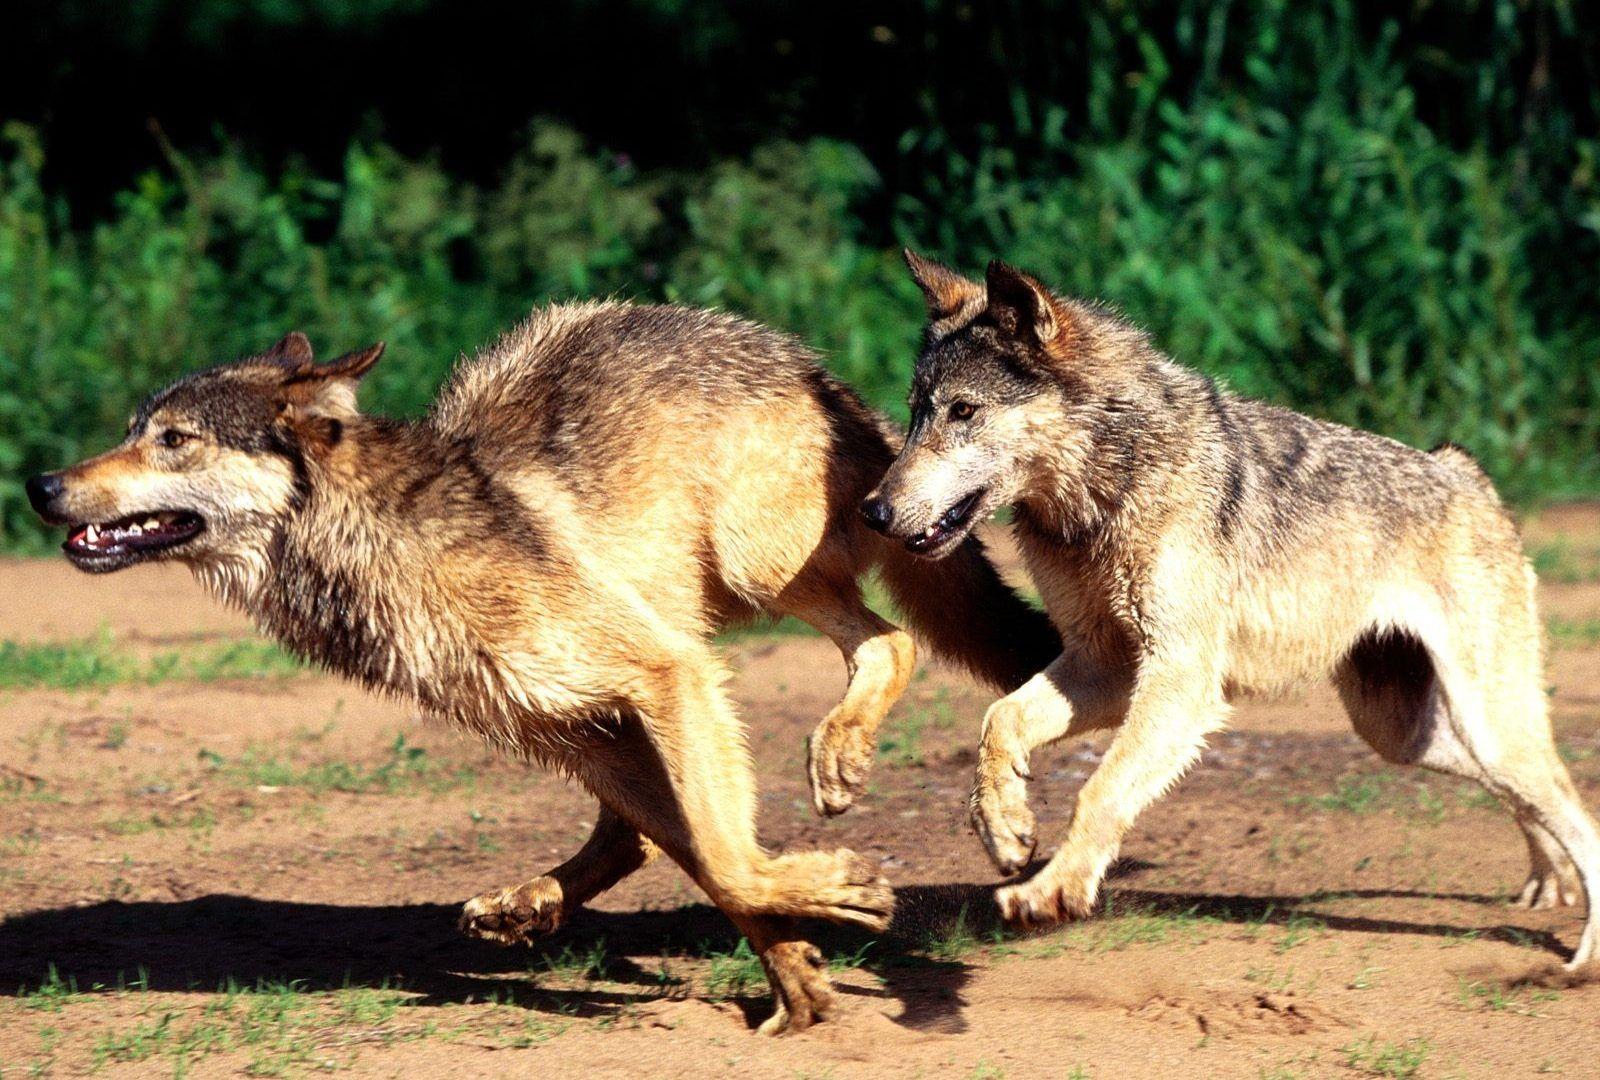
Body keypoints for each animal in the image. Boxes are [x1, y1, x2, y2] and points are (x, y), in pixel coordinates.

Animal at [26, 301, 1059, 1032]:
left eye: (174, 440)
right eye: (134, 428)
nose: (40, 484)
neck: (389, 541)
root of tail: (812, 367)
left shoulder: (666, 673)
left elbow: (731, 858)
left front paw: (838, 899)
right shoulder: (590, 717)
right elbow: (719, 865)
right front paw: (800, 976)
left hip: (746, 575)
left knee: (889, 641)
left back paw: (837, 756)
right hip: (592, 721)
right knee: (639, 838)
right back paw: (524, 906)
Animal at [859, 251, 1600, 971]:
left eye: (962, 411)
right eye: (916, 412)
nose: (872, 511)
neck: (1108, 489)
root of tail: (1465, 473)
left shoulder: (1181, 679)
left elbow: (1099, 791)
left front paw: (1052, 891)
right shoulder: (1107, 663)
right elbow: (999, 719)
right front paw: (1004, 829)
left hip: (1486, 723)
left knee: (1574, 806)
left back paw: (1581, 949)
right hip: (1402, 735)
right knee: (1529, 796)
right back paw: (1548, 877)